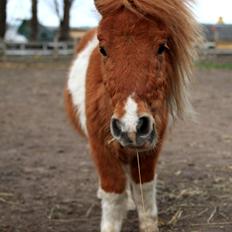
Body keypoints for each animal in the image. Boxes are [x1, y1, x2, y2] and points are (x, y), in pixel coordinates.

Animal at [64, 0, 200, 232]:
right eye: (103, 49)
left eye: (162, 46)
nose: (132, 125)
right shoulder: (100, 147)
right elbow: (113, 193)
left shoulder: (150, 148)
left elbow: (144, 189)